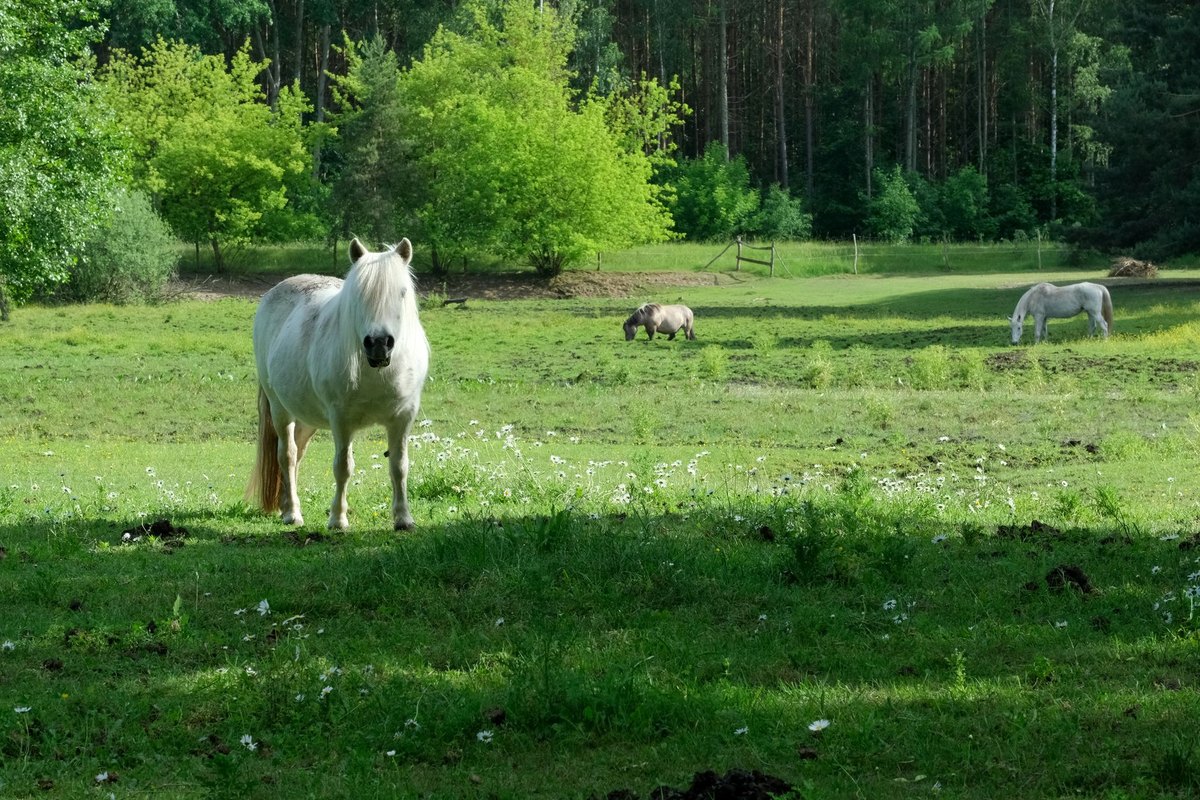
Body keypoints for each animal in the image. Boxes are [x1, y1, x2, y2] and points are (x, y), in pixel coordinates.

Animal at [247, 238, 429, 531]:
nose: (379, 344)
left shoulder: (402, 418)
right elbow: (343, 467)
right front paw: (338, 519)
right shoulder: (342, 419)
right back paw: (292, 513)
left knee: (297, 455)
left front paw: (403, 518)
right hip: (280, 409)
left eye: (401, 293)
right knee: (287, 454)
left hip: (306, 416)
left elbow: (399, 466)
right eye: (358, 295)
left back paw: (286, 505)